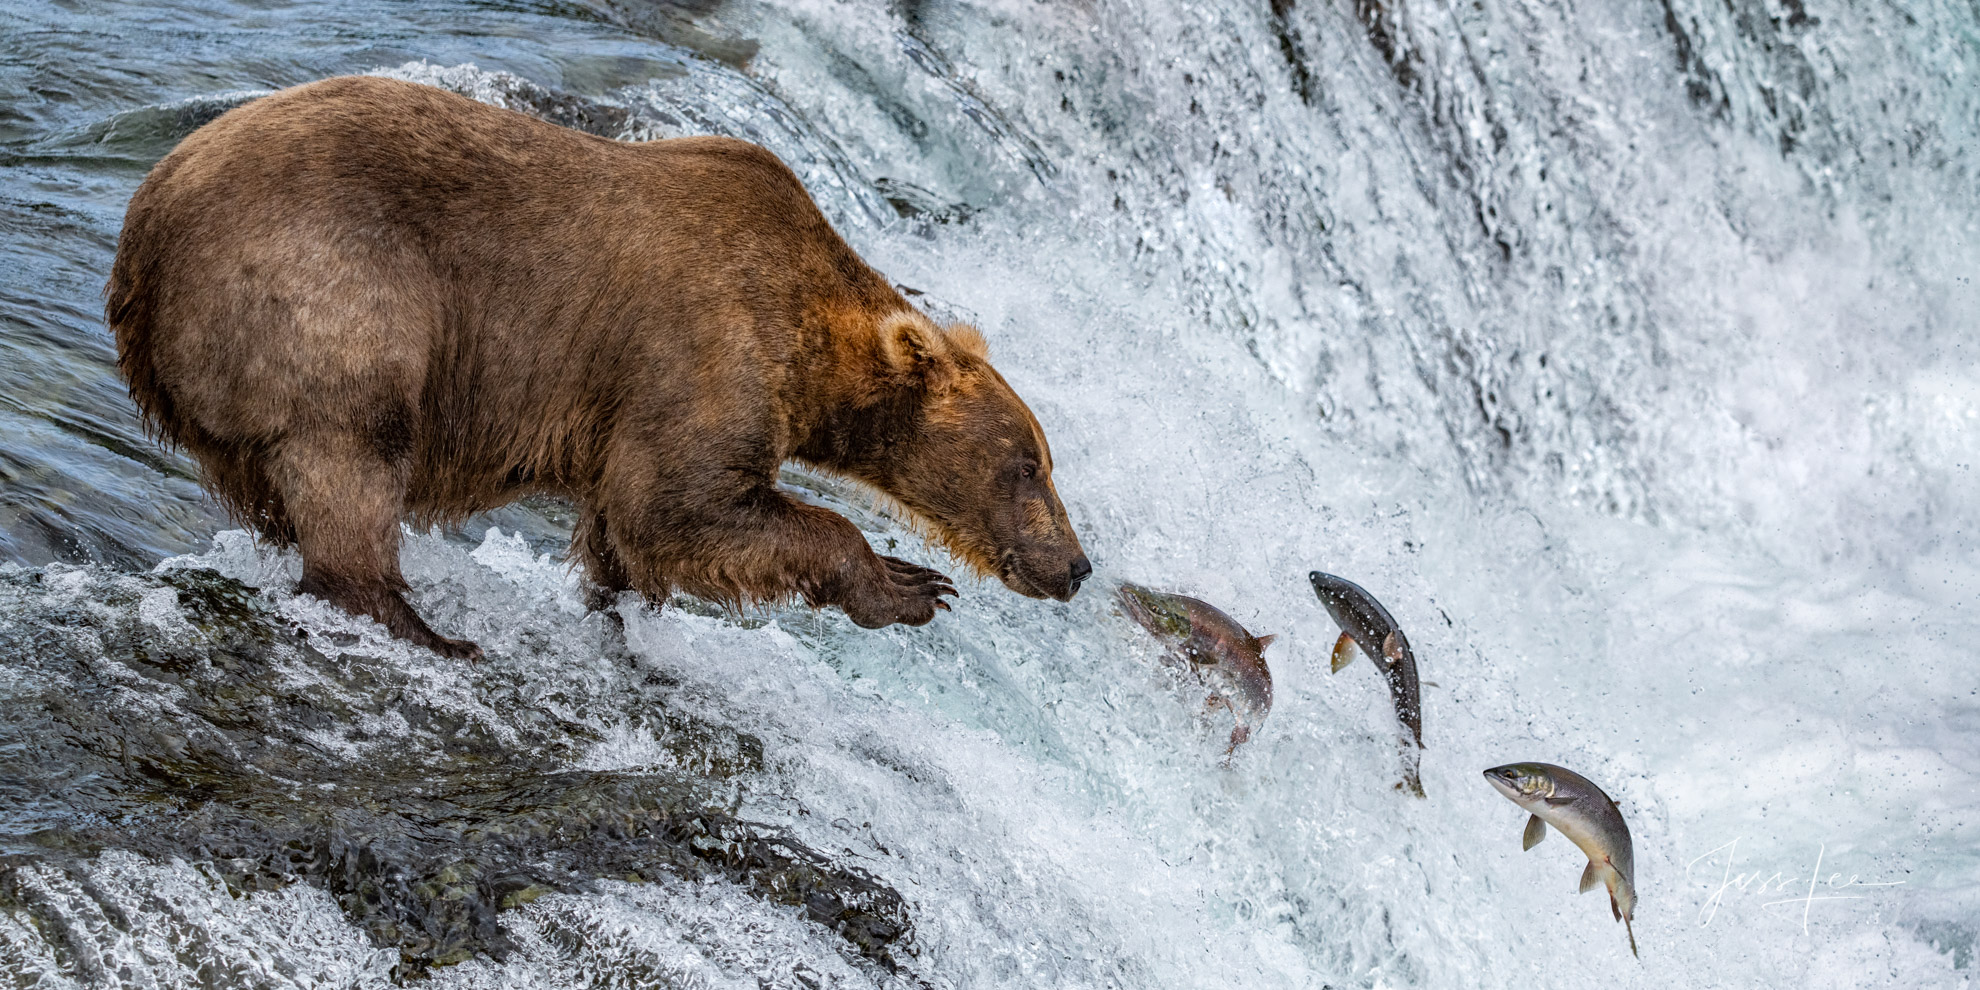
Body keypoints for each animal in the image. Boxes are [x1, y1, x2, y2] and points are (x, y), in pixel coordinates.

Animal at [108, 75, 1092, 657]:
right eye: (1028, 465)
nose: (1077, 566)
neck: (816, 346)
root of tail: (145, 228)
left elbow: (629, 532)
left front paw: (622, 614)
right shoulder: (702, 344)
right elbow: (680, 500)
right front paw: (907, 583)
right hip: (330, 291)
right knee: (351, 449)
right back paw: (419, 624)